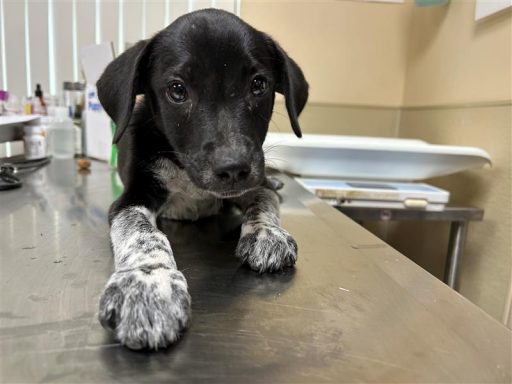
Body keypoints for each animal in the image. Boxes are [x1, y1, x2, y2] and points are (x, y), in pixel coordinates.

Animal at [96, 8, 308, 352]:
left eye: (258, 85)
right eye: (177, 90)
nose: (233, 168)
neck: (188, 176)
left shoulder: (253, 180)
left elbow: (263, 199)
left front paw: (266, 232)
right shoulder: (131, 197)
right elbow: (141, 232)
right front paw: (148, 281)